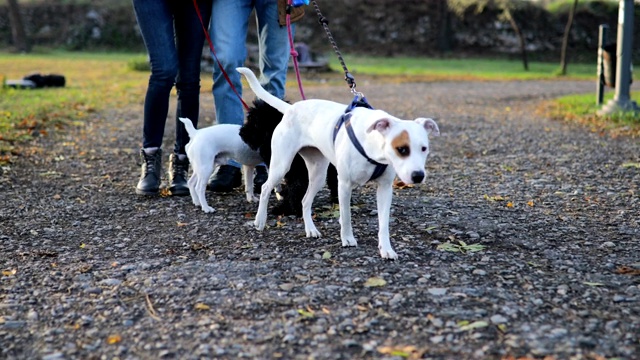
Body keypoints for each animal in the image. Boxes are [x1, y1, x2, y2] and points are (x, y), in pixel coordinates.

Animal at [235, 67, 440, 258]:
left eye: (424, 148)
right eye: (402, 149)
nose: (418, 176)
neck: (372, 147)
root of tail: (291, 109)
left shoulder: (384, 189)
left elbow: (384, 223)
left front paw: (386, 249)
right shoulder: (344, 184)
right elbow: (346, 214)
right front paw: (348, 238)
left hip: (318, 174)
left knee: (305, 200)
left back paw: (311, 229)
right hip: (281, 166)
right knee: (265, 188)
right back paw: (260, 220)